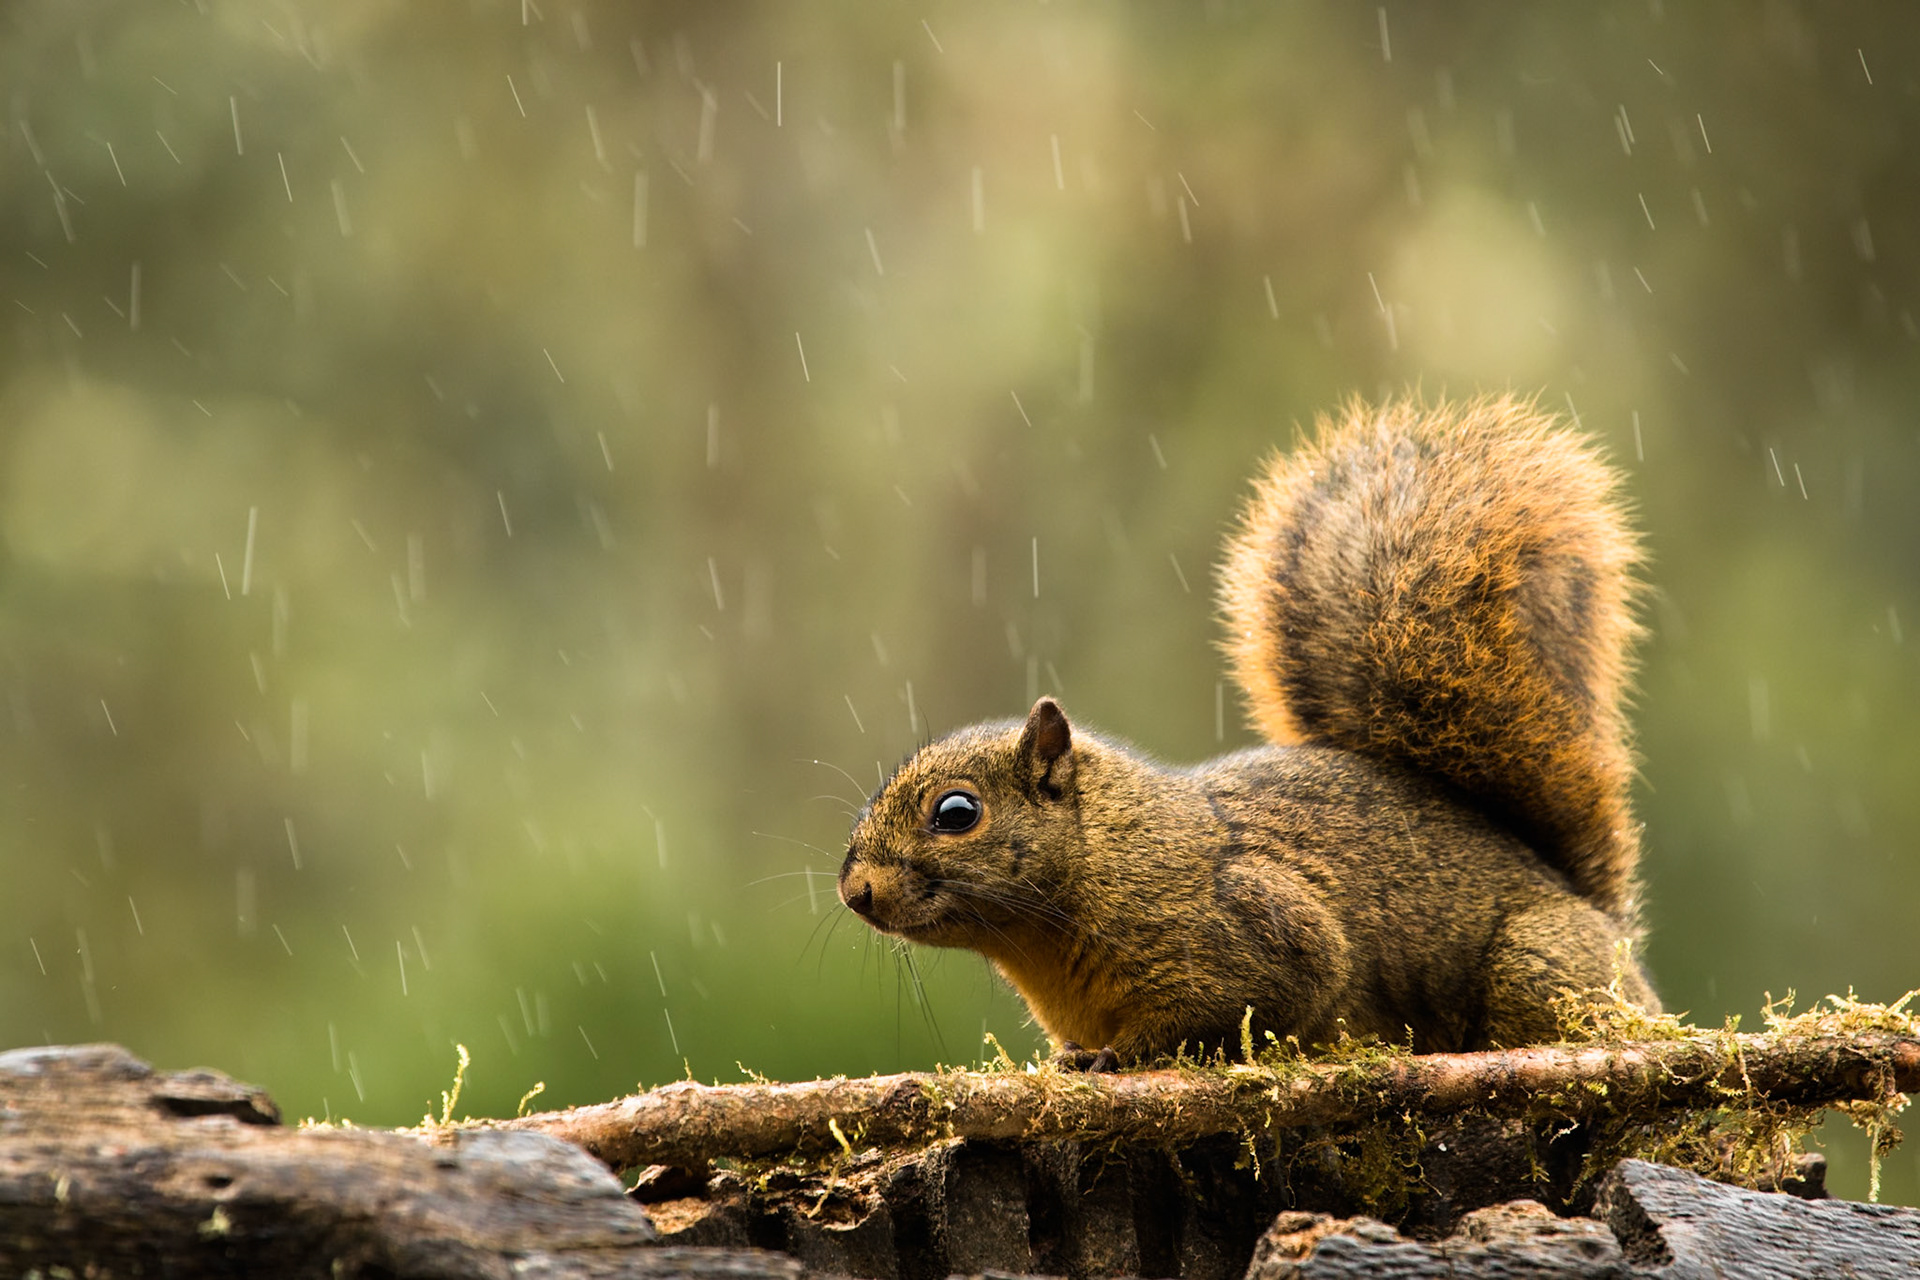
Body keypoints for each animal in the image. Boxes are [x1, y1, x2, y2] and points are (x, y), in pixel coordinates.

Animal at [837, 396, 1656, 1068]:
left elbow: (1245, 1007)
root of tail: (1598, 916)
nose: (855, 892)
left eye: (956, 813)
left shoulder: (1257, 929)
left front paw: (1122, 1056)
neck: (1105, 861)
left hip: (1536, 969)